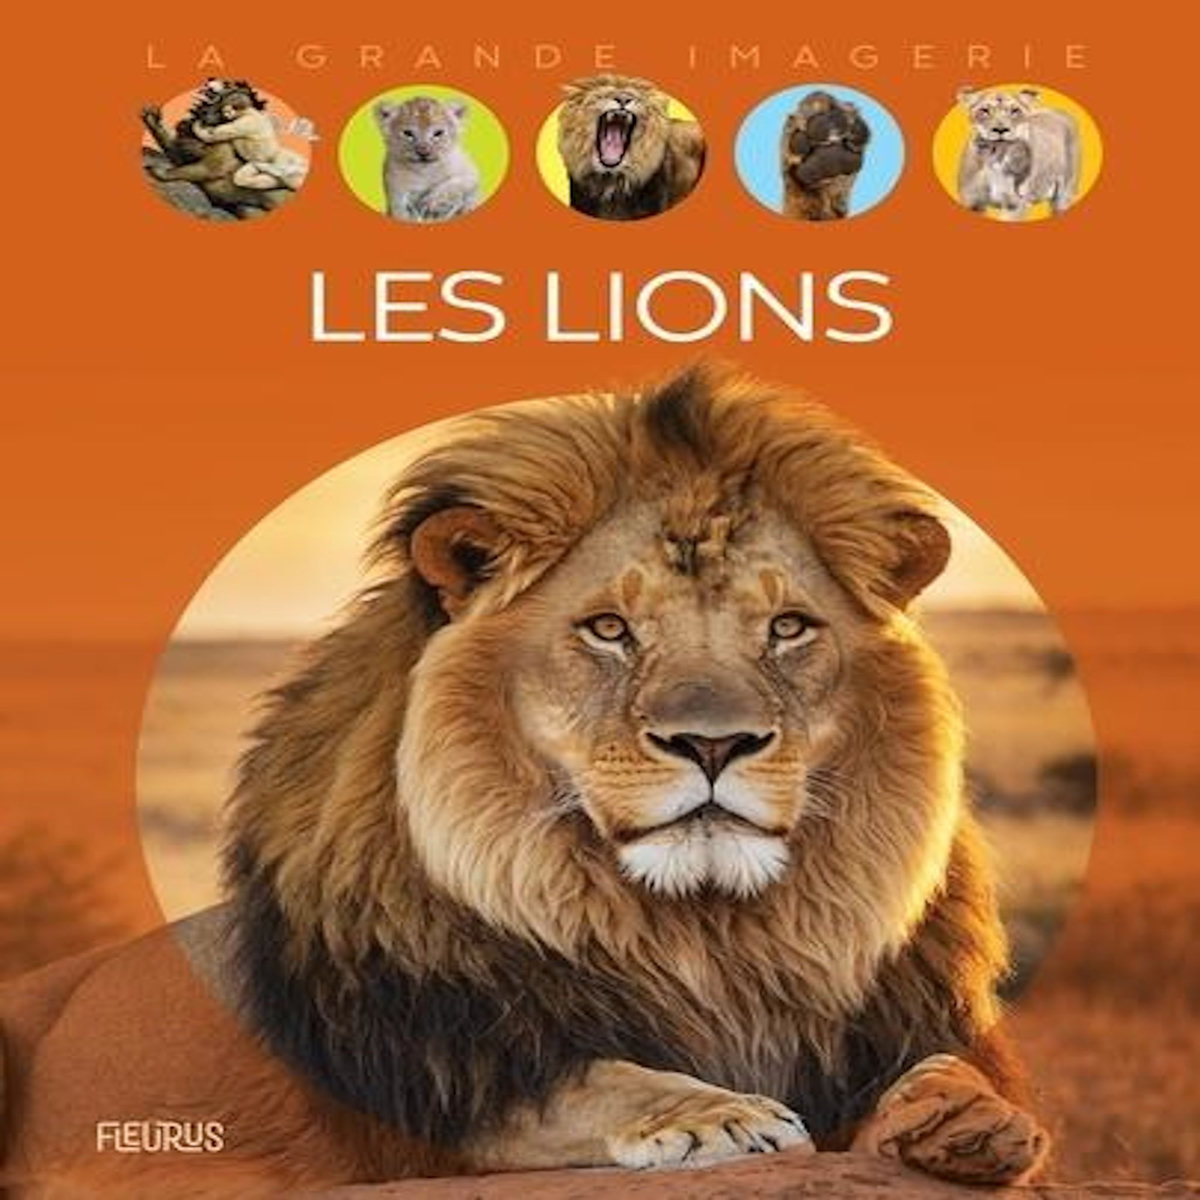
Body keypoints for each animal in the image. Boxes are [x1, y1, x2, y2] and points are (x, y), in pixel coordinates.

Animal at [0, 364, 1048, 1195]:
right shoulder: (438, 1080)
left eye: (788, 627)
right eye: (609, 629)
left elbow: (944, 1071)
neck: (709, 934)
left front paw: (966, 1115)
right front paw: (717, 1115)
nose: (713, 744)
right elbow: (596, 1078)